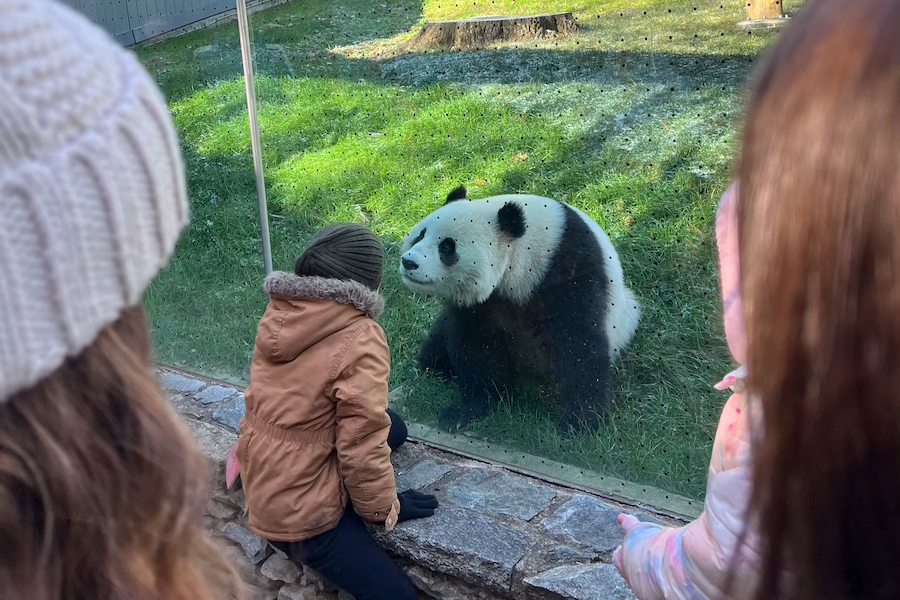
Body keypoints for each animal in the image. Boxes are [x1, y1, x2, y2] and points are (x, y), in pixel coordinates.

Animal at [399, 185, 640, 432]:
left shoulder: (570, 268)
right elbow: (476, 345)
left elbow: (579, 343)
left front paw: (580, 423)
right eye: (420, 235)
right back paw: (437, 366)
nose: (409, 262)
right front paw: (468, 410)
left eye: (447, 246)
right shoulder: (480, 303)